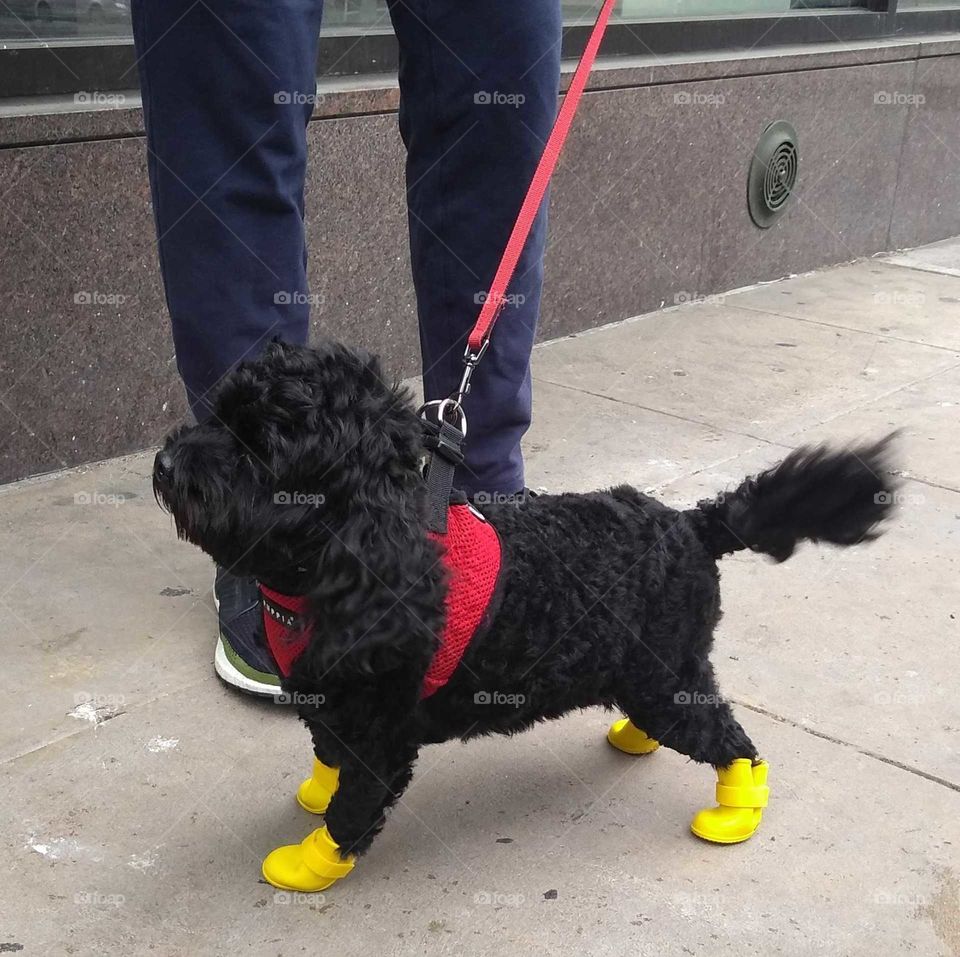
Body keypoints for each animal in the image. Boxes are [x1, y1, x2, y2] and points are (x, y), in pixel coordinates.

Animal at [152, 340, 900, 884]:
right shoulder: (335, 706)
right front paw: (314, 790)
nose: (164, 463)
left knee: (727, 737)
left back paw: (737, 805)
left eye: (262, 450)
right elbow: (327, 755)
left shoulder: (383, 737)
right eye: (218, 417)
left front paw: (313, 861)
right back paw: (639, 739)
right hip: (649, 668)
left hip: (664, 677)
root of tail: (692, 524)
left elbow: (354, 804)